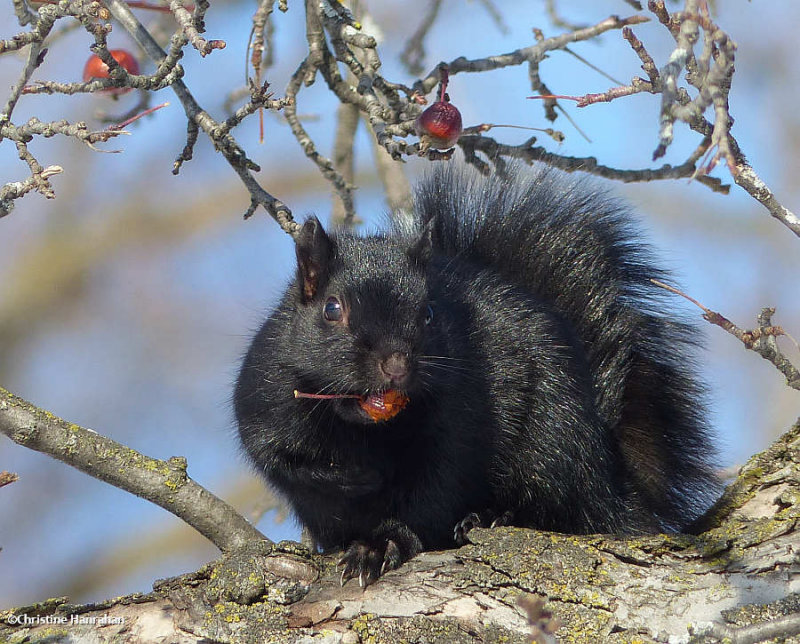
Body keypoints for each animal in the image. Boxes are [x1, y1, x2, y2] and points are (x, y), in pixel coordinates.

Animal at [231, 164, 720, 588]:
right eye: (332, 309)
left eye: (429, 312)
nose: (397, 366)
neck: (364, 426)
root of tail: (613, 476)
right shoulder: (266, 397)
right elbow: (278, 461)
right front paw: (351, 480)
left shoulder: (460, 420)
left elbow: (435, 488)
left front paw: (383, 542)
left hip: (554, 439)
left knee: (564, 509)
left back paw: (494, 517)